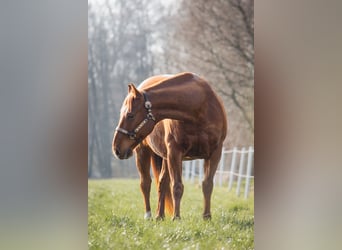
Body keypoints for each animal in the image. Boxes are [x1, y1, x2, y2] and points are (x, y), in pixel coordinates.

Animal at [112, 73, 228, 221]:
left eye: (130, 115)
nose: (116, 148)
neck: (200, 108)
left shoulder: (215, 153)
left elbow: (207, 184)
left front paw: (206, 216)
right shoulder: (175, 153)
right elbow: (177, 186)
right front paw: (176, 217)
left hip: (165, 158)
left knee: (162, 182)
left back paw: (159, 215)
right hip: (143, 151)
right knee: (145, 183)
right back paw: (149, 215)